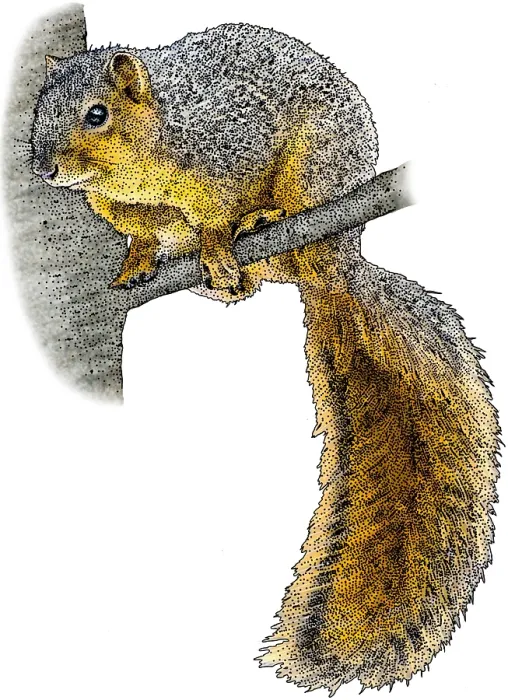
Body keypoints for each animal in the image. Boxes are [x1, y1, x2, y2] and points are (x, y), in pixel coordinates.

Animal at [31, 23, 499, 693]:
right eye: (38, 110)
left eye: (97, 114)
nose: (42, 167)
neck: (144, 157)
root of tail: (335, 256)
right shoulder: (131, 211)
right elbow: (146, 234)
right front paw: (136, 263)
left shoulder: (231, 148)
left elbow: (216, 214)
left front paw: (218, 241)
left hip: (318, 162)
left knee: (298, 205)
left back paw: (264, 222)